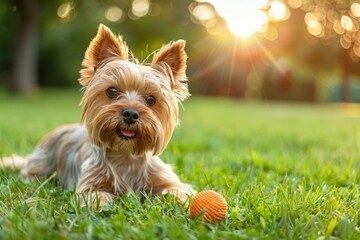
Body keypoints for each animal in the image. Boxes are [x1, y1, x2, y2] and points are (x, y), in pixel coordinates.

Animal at [1, 23, 195, 206]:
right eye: (112, 91)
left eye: (151, 99)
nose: (130, 114)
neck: (124, 155)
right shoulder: (89, 183)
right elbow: (95, 195)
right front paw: (103, 202)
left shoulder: (168, 180)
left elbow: (179, 191)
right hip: (41, 164)